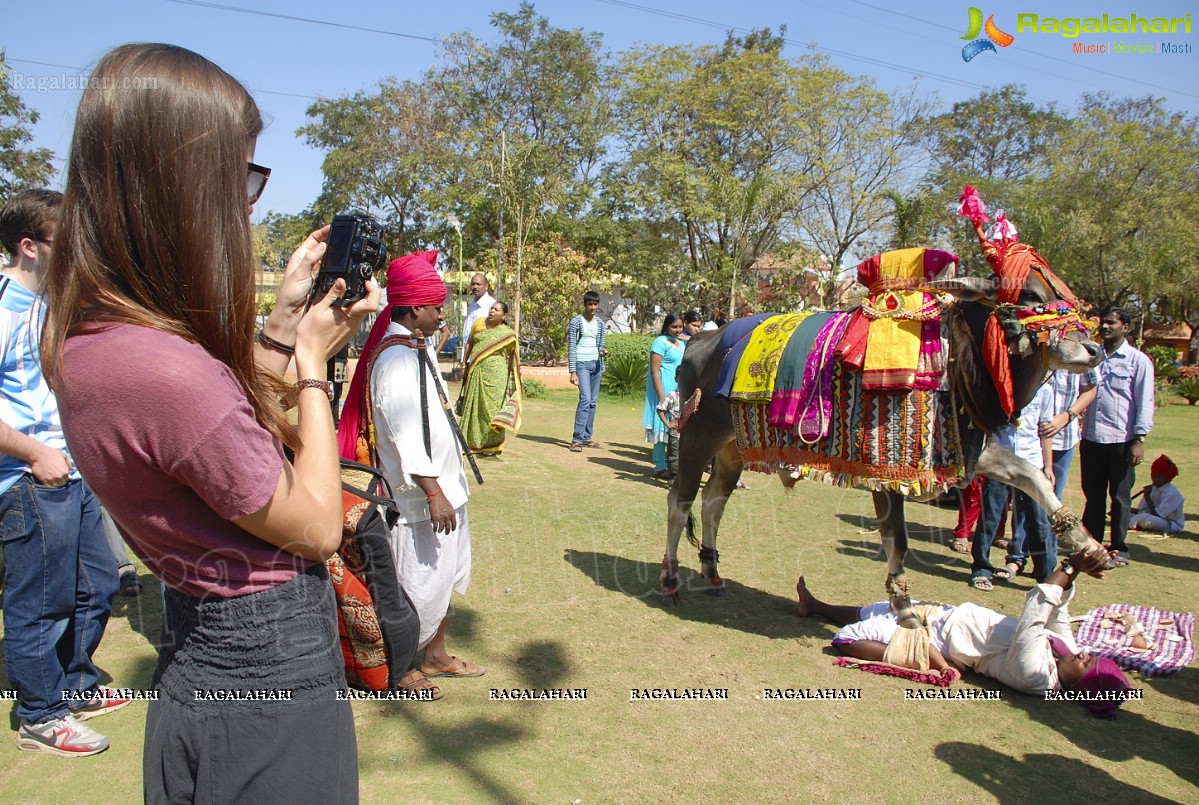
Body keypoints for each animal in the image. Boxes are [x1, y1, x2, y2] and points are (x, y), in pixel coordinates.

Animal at [666, 193, 1103, 623]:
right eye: (1030, 295)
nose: (1093, 349)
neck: (953, 358)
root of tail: (703, 340)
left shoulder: (966, 453)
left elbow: (1033, 475)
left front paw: (1087, 543)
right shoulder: (884, 472)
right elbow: (898, 539)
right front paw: (904, 610)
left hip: (732, 448)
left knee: (713, 500)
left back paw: (711, 570)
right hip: (697, 436)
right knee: (680, 500)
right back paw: (671, 578)